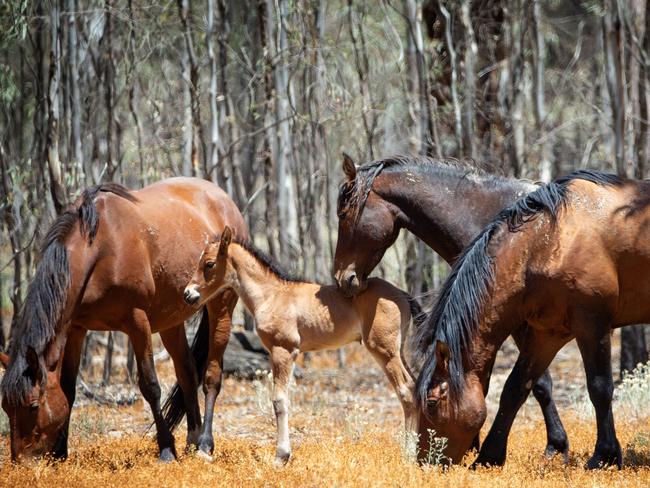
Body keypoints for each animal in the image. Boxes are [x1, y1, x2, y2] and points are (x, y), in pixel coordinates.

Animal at [0, 177, 247, 464]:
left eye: (33, 405)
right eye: (6, 407)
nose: (21, 461)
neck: (102, 249)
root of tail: (225, 200)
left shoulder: (137, 322)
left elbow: (150, 385)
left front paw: (166, 449)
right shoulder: (77, 328)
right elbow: (68, 388)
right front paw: (61, 451)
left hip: (222, 306)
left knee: (211, 376)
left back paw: (206, 443)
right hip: (171, 320)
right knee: (187, 372)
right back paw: (192, 440)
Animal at [181, 228, 420, 466]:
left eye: (209, 264)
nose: (188, 294)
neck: (271, 295)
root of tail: (403, 294)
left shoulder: (283, 351)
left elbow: (279, 400)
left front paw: (281, 456)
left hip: (384, 351)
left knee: (406, 390)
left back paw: (409, 454)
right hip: (397, 350)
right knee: (415, 386)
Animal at [412, 169, 644, 468]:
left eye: (431, 403)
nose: (425, 460)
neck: (551, 241)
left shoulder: (593, 325)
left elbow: (600, 387)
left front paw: (605, 456)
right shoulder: (547, 334)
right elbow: (516, 388)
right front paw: (489, 457)